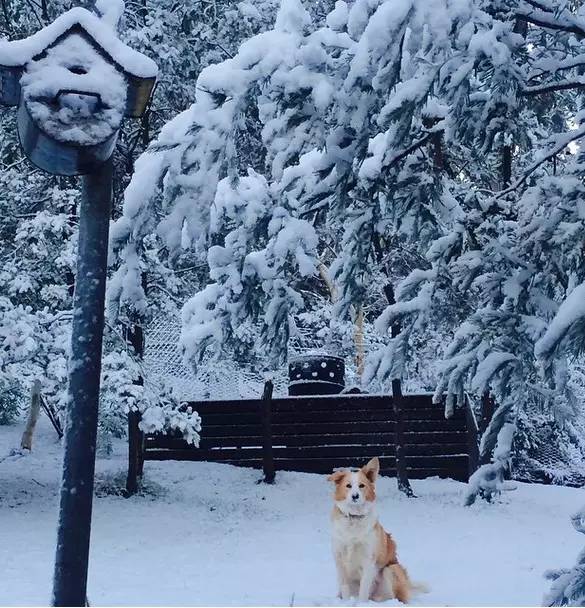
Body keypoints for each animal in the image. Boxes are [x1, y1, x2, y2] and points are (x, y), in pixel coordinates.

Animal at [328, 456, 424, 604]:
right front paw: (345, 603)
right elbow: (345, 588)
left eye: (361, 486)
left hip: (391, 569)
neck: (354, 518)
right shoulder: (339, 559)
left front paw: (361, 604)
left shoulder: (368, 560)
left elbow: (363, 590)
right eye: (348, 486)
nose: (355, 496)